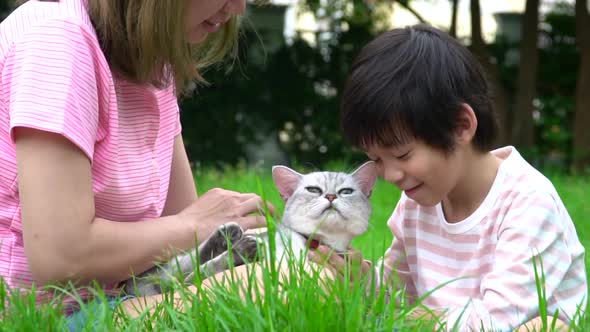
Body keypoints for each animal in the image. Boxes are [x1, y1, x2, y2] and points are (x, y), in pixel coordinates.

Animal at [122, 161, 380, 296]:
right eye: (314, 190)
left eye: (346, 191)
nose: (331, 196)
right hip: (180, 264)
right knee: (193, 270)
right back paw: (235, 243)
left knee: (188, 274)